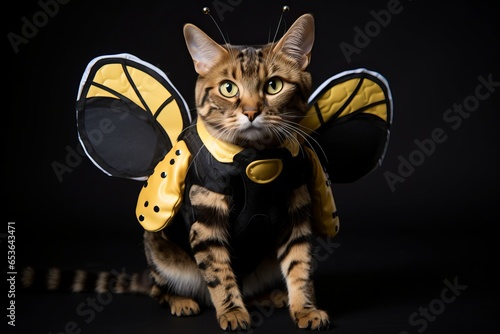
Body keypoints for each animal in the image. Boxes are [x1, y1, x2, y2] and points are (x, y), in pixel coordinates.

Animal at [23, 13, 336, 332]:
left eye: (274, 85)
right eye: (228, 88)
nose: (251, 111)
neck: (257, 158)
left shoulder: (296, 212)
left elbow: (300, 267)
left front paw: (305, 309)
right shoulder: (207, 219)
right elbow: (219, 274)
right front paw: (233, 312)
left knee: (250, 287)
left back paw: (269, 296)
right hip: (159, 250)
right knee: (160, 290)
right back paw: (182, 301)